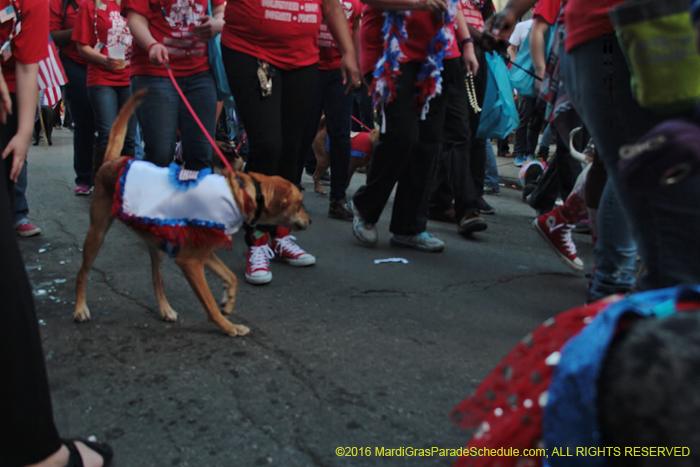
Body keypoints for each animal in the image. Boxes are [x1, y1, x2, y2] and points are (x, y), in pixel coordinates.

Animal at [73, 89, 308, 336]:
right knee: (82, 273)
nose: (309, 220)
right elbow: (210, 304)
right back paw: (80, 309)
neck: (236, 196)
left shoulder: (204, 253)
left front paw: (228, 302)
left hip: (156, 243)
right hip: (97, 234)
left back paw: (165, 309)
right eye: (300, 204)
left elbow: (231, 277)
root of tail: (112, 161)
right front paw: (228, 326)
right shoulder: (190, 261)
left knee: (157, 279)